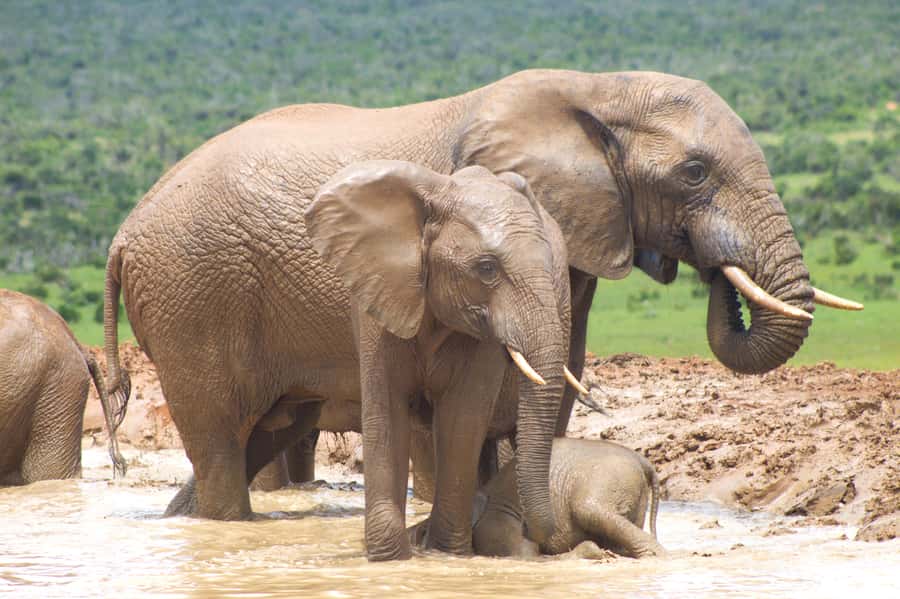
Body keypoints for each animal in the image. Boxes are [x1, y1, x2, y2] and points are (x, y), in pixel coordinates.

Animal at [104, 159, 574, 561]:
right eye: (487, 268)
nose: (542, 537)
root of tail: (120, 239)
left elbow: (464, 417)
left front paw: (444, 555)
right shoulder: (375, 292)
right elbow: (388, 408)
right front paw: (391, 560)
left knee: (258, 437)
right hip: (189, 307)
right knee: (220, 443)